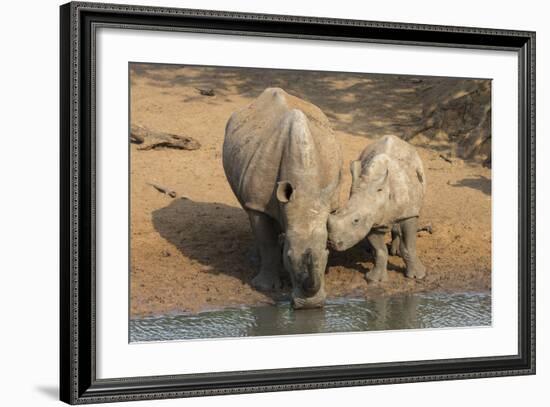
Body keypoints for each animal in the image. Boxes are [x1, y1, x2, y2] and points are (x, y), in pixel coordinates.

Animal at [222, 87, 342, 310]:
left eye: (326, 255)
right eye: (289, 257)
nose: (310, 306)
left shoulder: (328, 201)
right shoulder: (258, 204)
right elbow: (266, 240)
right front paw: (265, 287)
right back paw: (256, 259)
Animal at [328, 135, 426, 282]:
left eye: (356, 220)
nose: (332, 243)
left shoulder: (409, 213)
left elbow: (409, 246)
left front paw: (417, 276)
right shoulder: (372, 219)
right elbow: (380, 250)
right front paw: (375, 279)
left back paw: (396, 252)